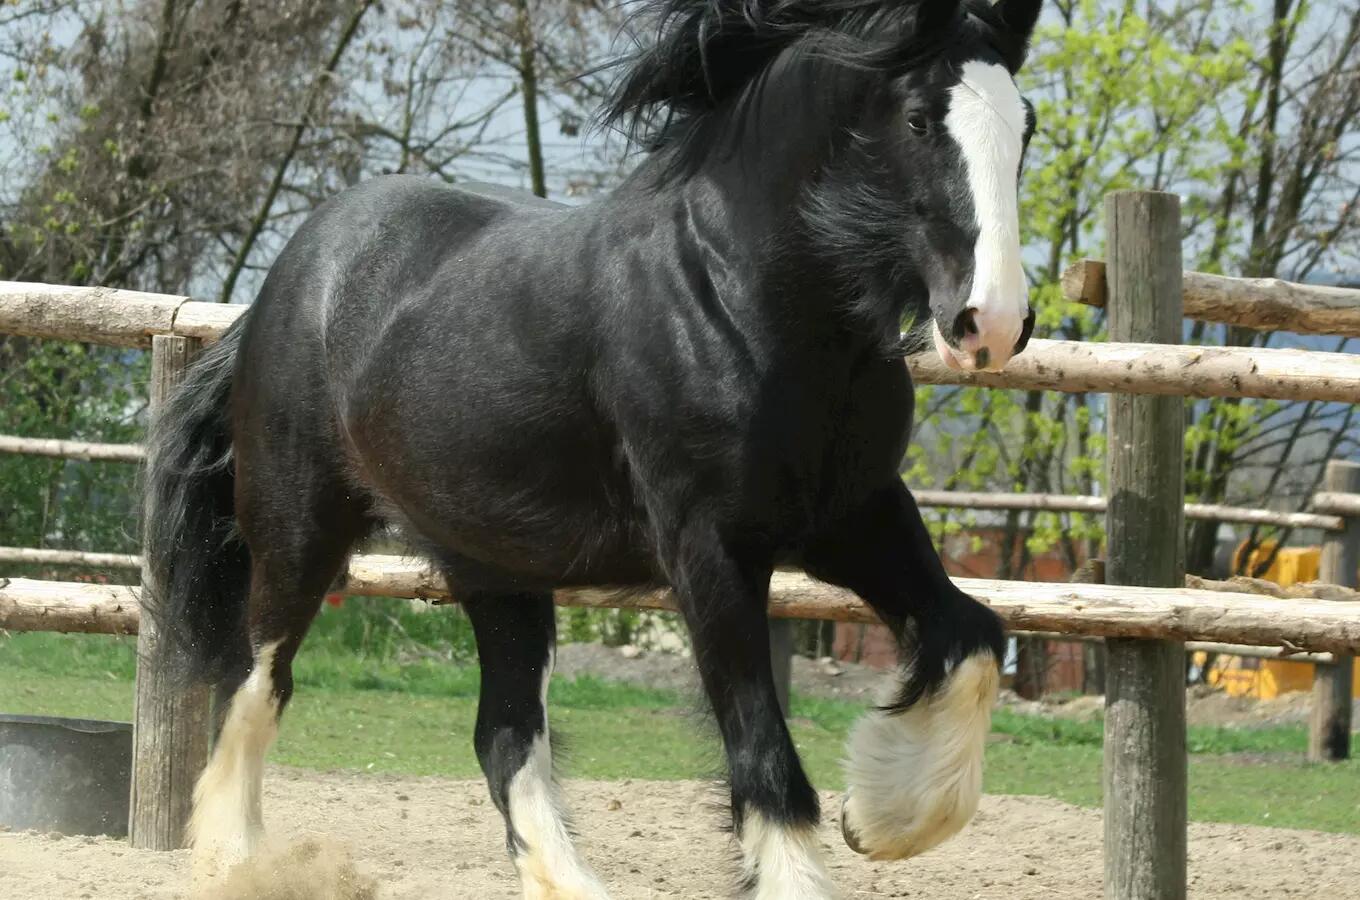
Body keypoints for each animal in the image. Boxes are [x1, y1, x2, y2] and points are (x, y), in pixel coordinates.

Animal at [143, 0, 1042, 896]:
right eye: (920, 119)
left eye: (1025, 123)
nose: (992, 323)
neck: (741, 299)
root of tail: (282, 284)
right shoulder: (710, 548)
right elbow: (763, 753)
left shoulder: (855, 516)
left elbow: (973, 637)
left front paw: (882, 817)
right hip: (298, 535)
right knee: (255, 685)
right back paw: (235, 857)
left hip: (496, 568)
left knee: (505, 738)